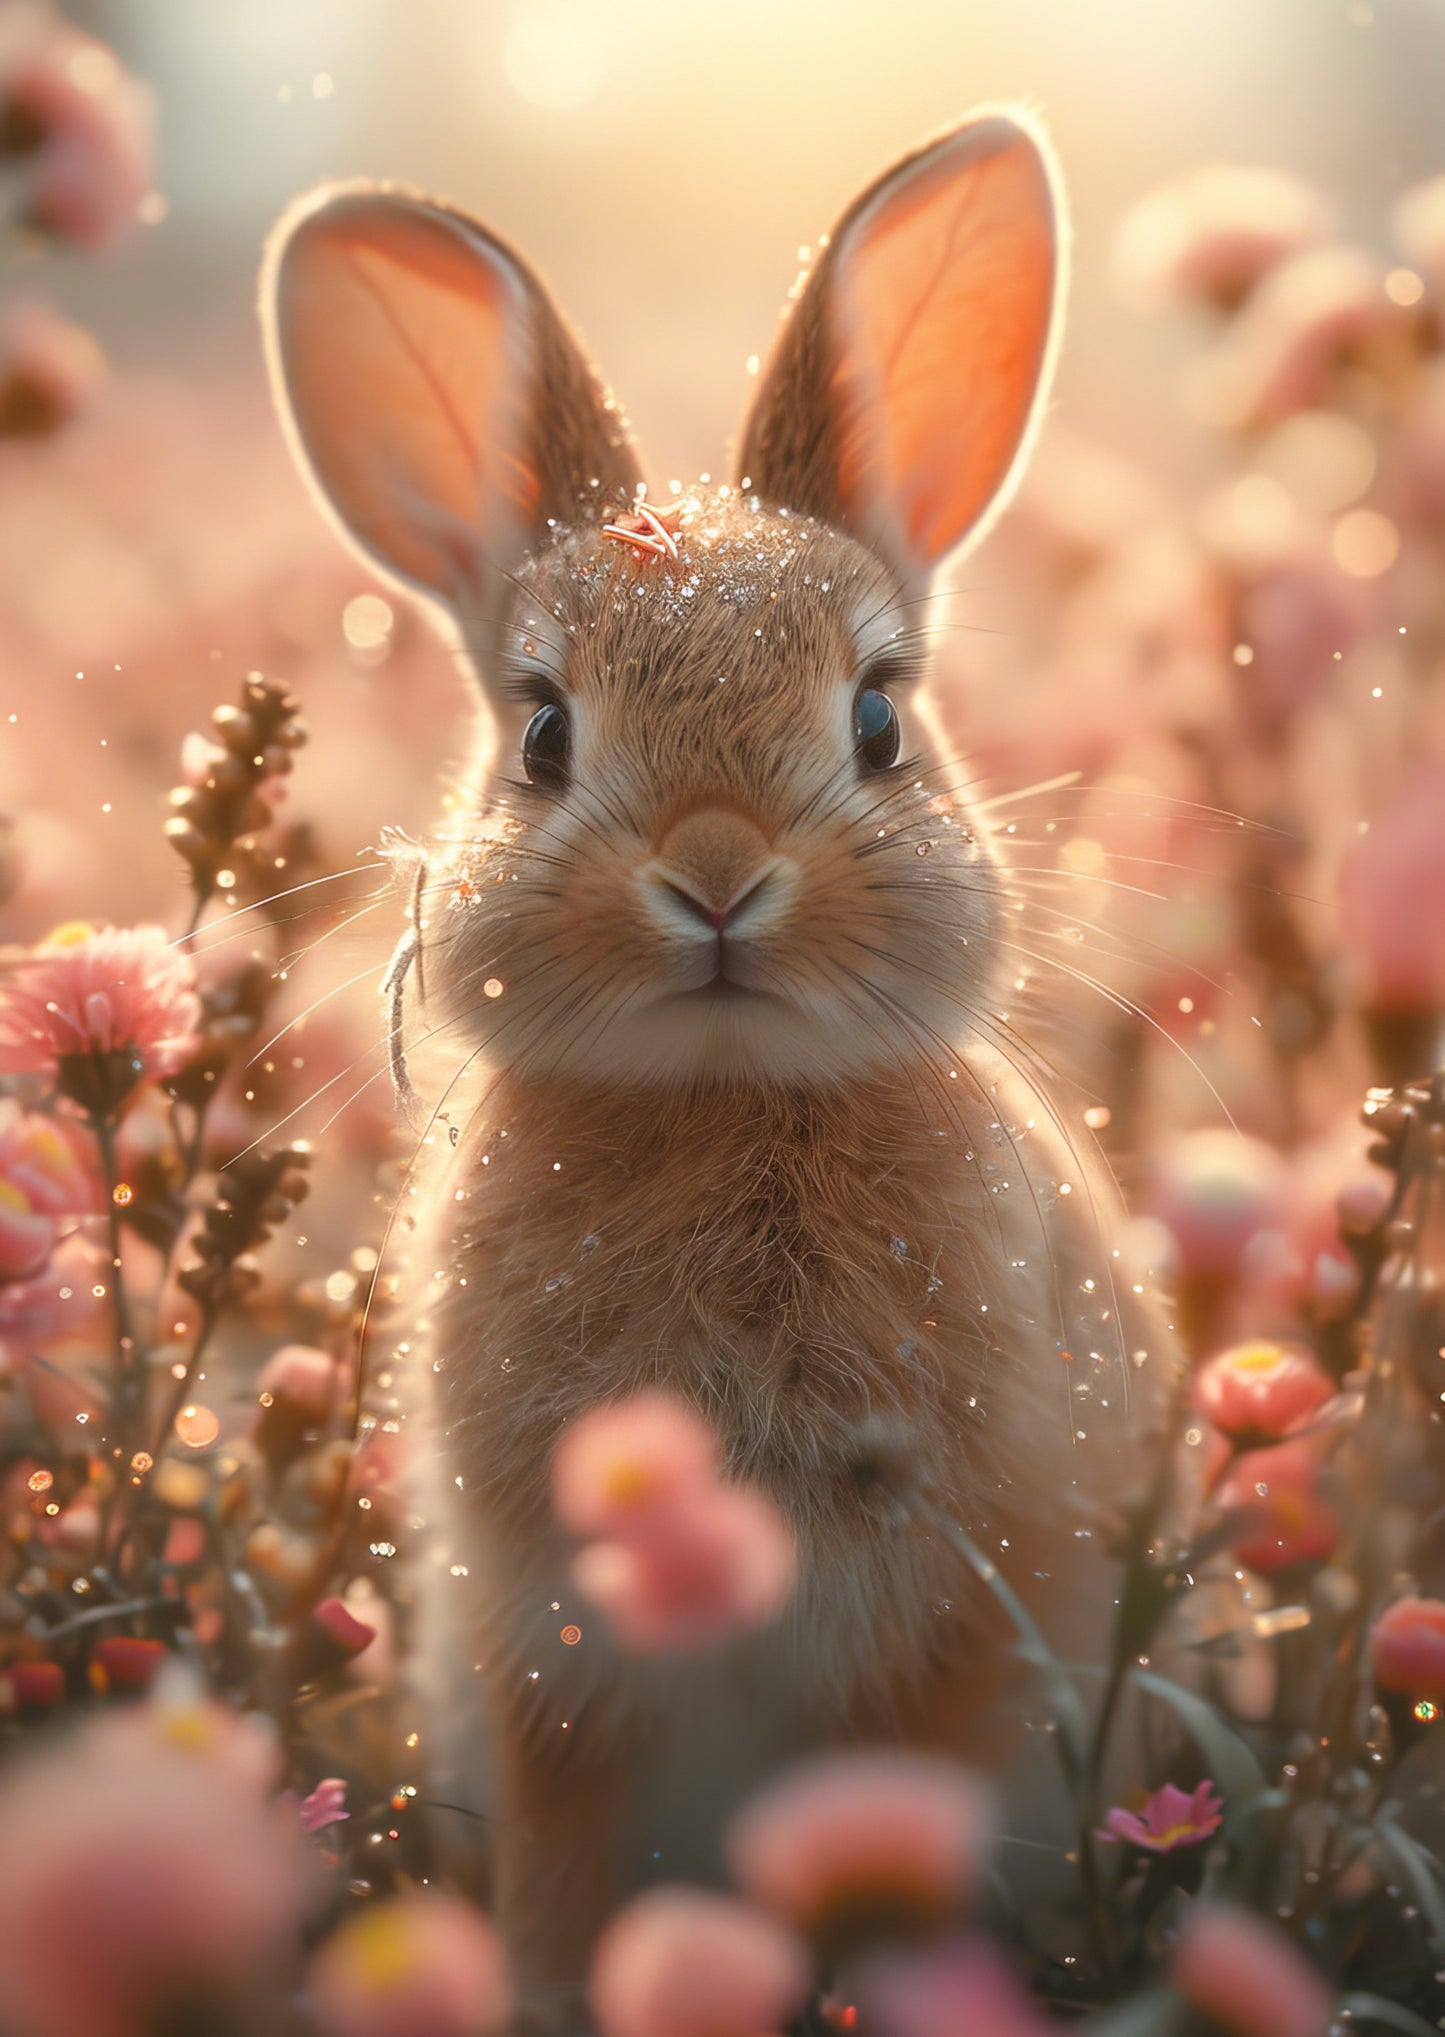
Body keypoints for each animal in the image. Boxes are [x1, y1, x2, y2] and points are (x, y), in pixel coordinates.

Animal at [262, 107, 1172, 2024]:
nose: (715, 872)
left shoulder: (936, 1628)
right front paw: (542, 1990)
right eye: (542, 734)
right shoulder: (551, 1653)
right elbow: (561, 1850)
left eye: (880, 718)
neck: (727, 1101)